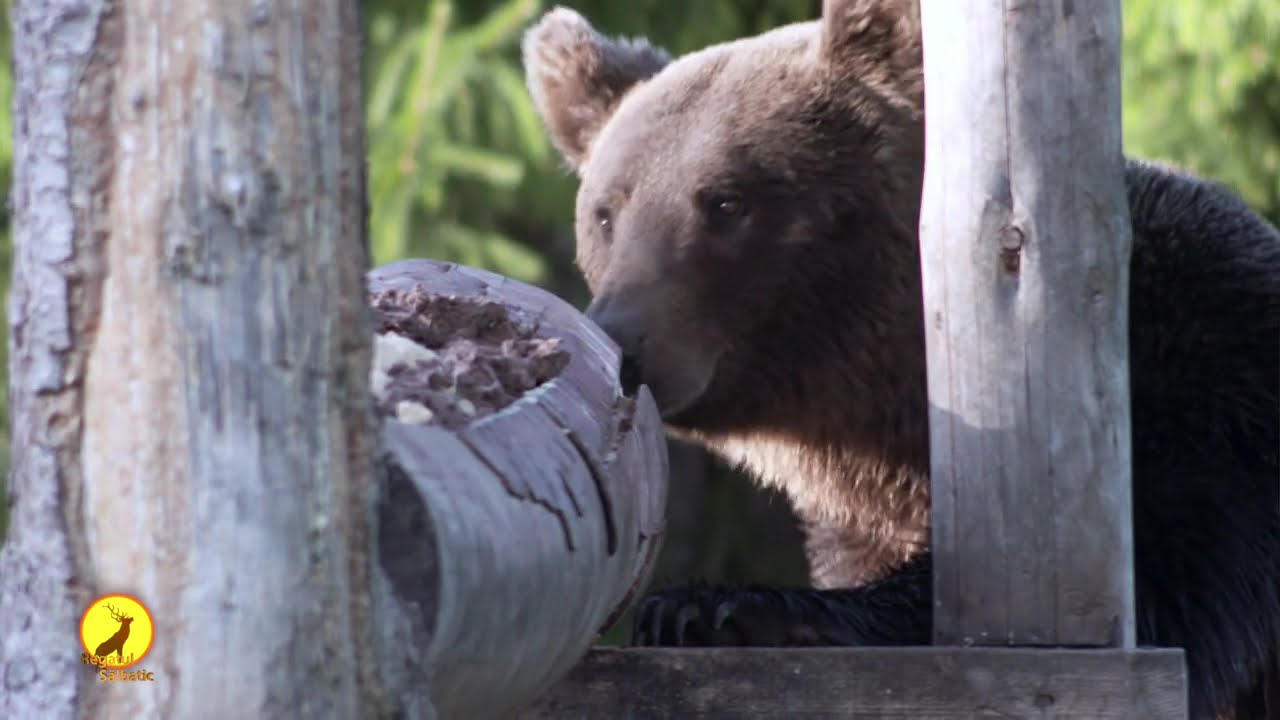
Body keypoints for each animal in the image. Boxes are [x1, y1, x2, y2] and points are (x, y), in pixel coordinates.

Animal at [521, 1, 1280, 718]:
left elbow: (1168, 570)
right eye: (606, 212)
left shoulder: (1212, 396)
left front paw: (721, 608)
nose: (621, 340)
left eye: (727, 201)